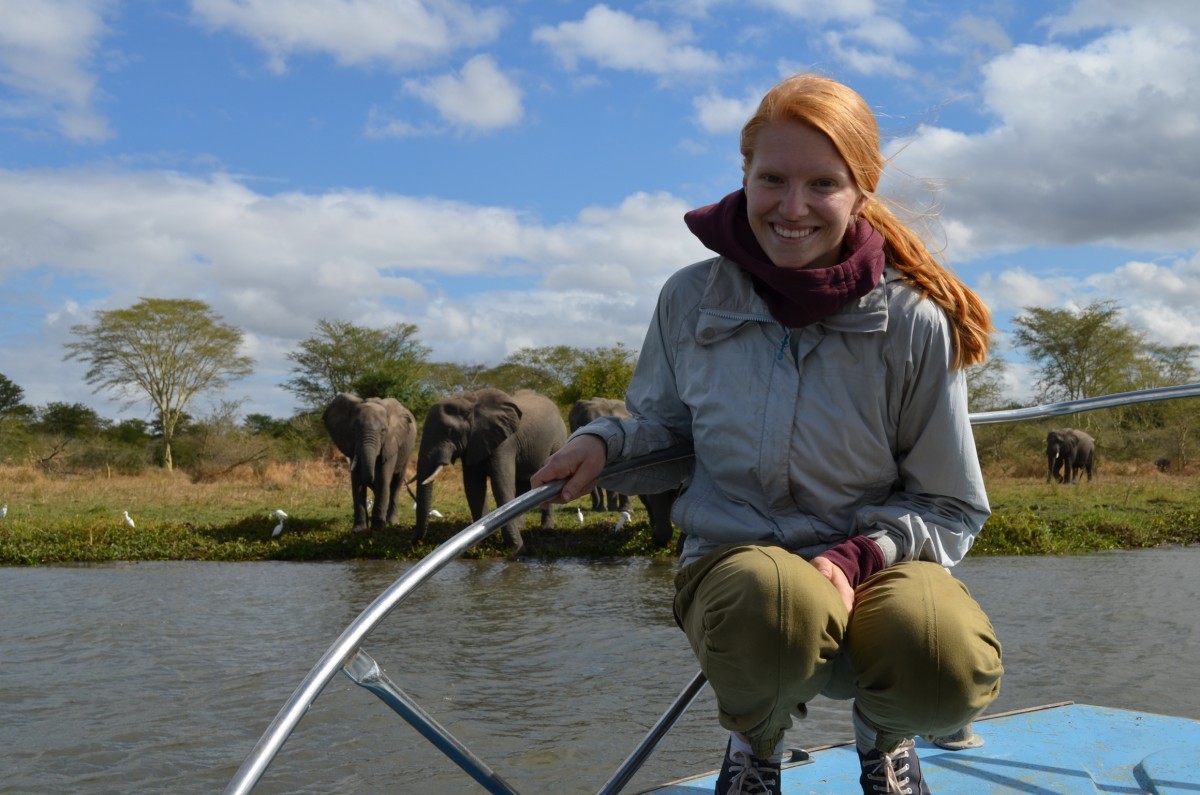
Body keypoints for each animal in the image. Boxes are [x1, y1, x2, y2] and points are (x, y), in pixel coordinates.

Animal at [324, 393, 417, 533]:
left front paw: (377, 529)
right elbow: (357, 483)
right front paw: (358, 530)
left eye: (383, 430)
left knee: (396, 484)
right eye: (353, 430)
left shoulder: (390, 443)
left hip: (407, 450)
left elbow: (383, 481)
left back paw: (391, 522)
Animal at [412, 386, 566, 554]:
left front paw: (516, 548)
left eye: (450, 431)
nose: (418, 542)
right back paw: (520, 525)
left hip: (558, 441)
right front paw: (482, 541)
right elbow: (474, 488)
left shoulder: (504, 443)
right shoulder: (473, 443)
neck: (471, 403)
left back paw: (546, 529)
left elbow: (501, 487)